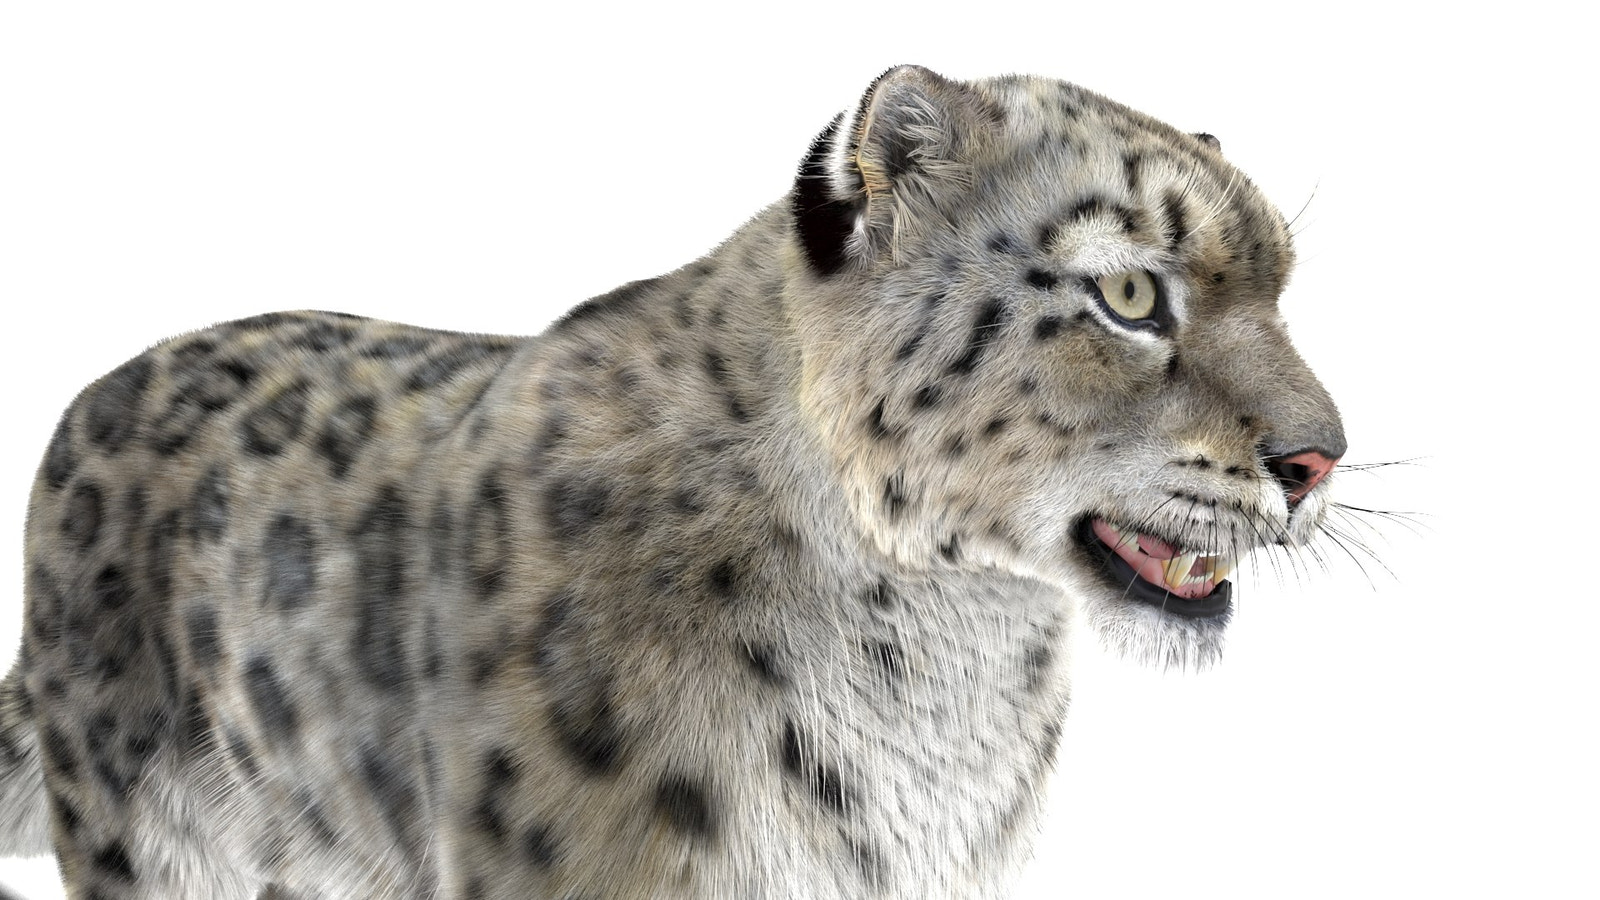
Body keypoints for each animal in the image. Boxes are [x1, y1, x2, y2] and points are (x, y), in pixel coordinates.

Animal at [0, 65, 1346, 900]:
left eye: (1282, 287)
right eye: (1127, 292)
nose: (1317, 457)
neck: (942, 668)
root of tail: (91, 398)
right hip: (150, 835)